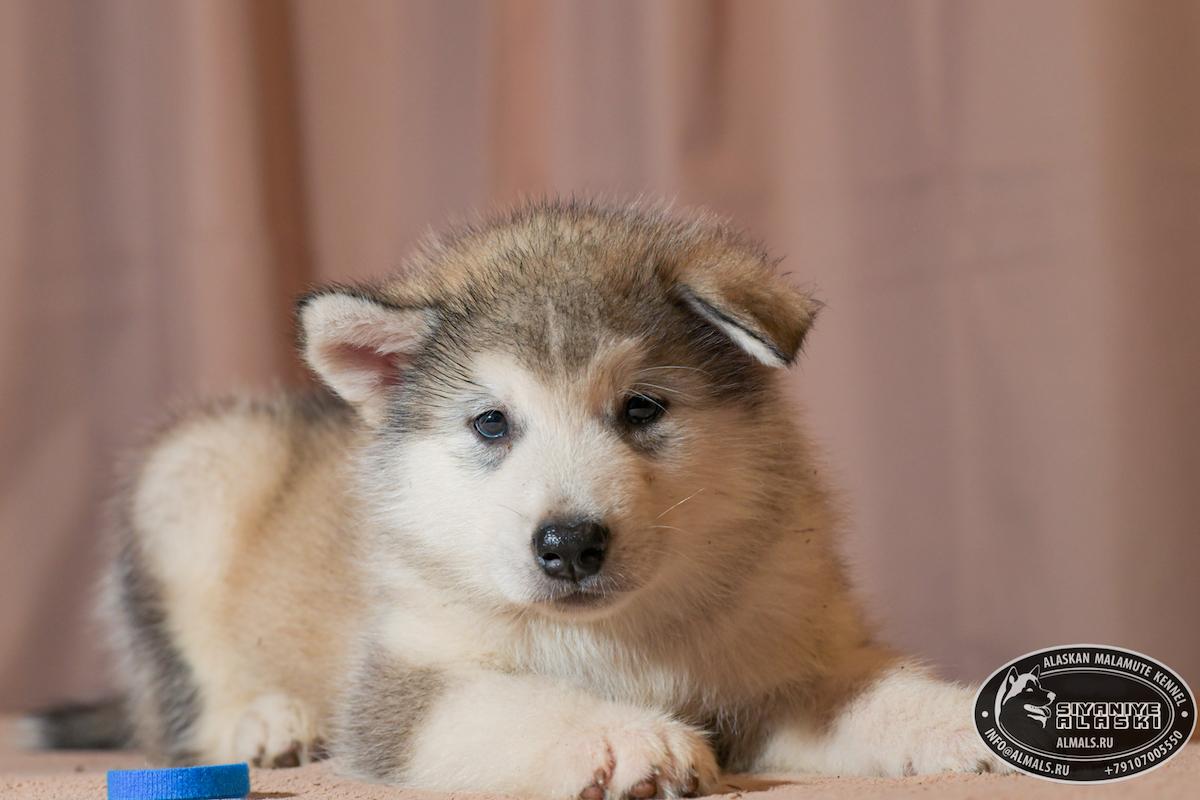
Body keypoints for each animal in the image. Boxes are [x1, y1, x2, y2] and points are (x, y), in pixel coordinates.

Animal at [30, 200, 1003, 796]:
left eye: (641, 408)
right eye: (491, 424)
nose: (569, 543)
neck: (623, 637)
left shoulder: (782, 664)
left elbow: (869, 696)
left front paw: (964, 719)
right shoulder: (407, 680)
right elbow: (517, 699)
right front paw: (622, 736)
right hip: (194, 475)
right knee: (184, 705)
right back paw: (267, 723)